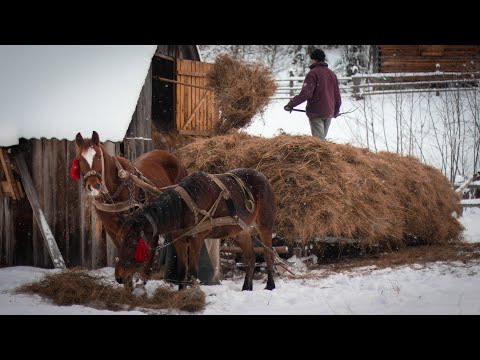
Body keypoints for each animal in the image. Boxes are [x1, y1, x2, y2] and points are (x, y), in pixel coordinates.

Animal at [73, 131, 188, 278]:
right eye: (80, 159)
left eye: (98, 156)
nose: (93, 186)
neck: (116, 189)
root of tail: (176, 159)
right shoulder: (110, 226)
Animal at [115, 167, 278, 292]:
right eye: (120, 241)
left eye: (132, 244)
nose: (118, 277)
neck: (182, 208)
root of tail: (264, 178)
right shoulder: (180, 240)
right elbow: (182, 271)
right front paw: (182, 294)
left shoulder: (196, 239)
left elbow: (193, 271)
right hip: (242, 232)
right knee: (250, 258)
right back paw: (246, 288)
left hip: (265, 226)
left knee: (268, 255)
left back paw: (270, 285)